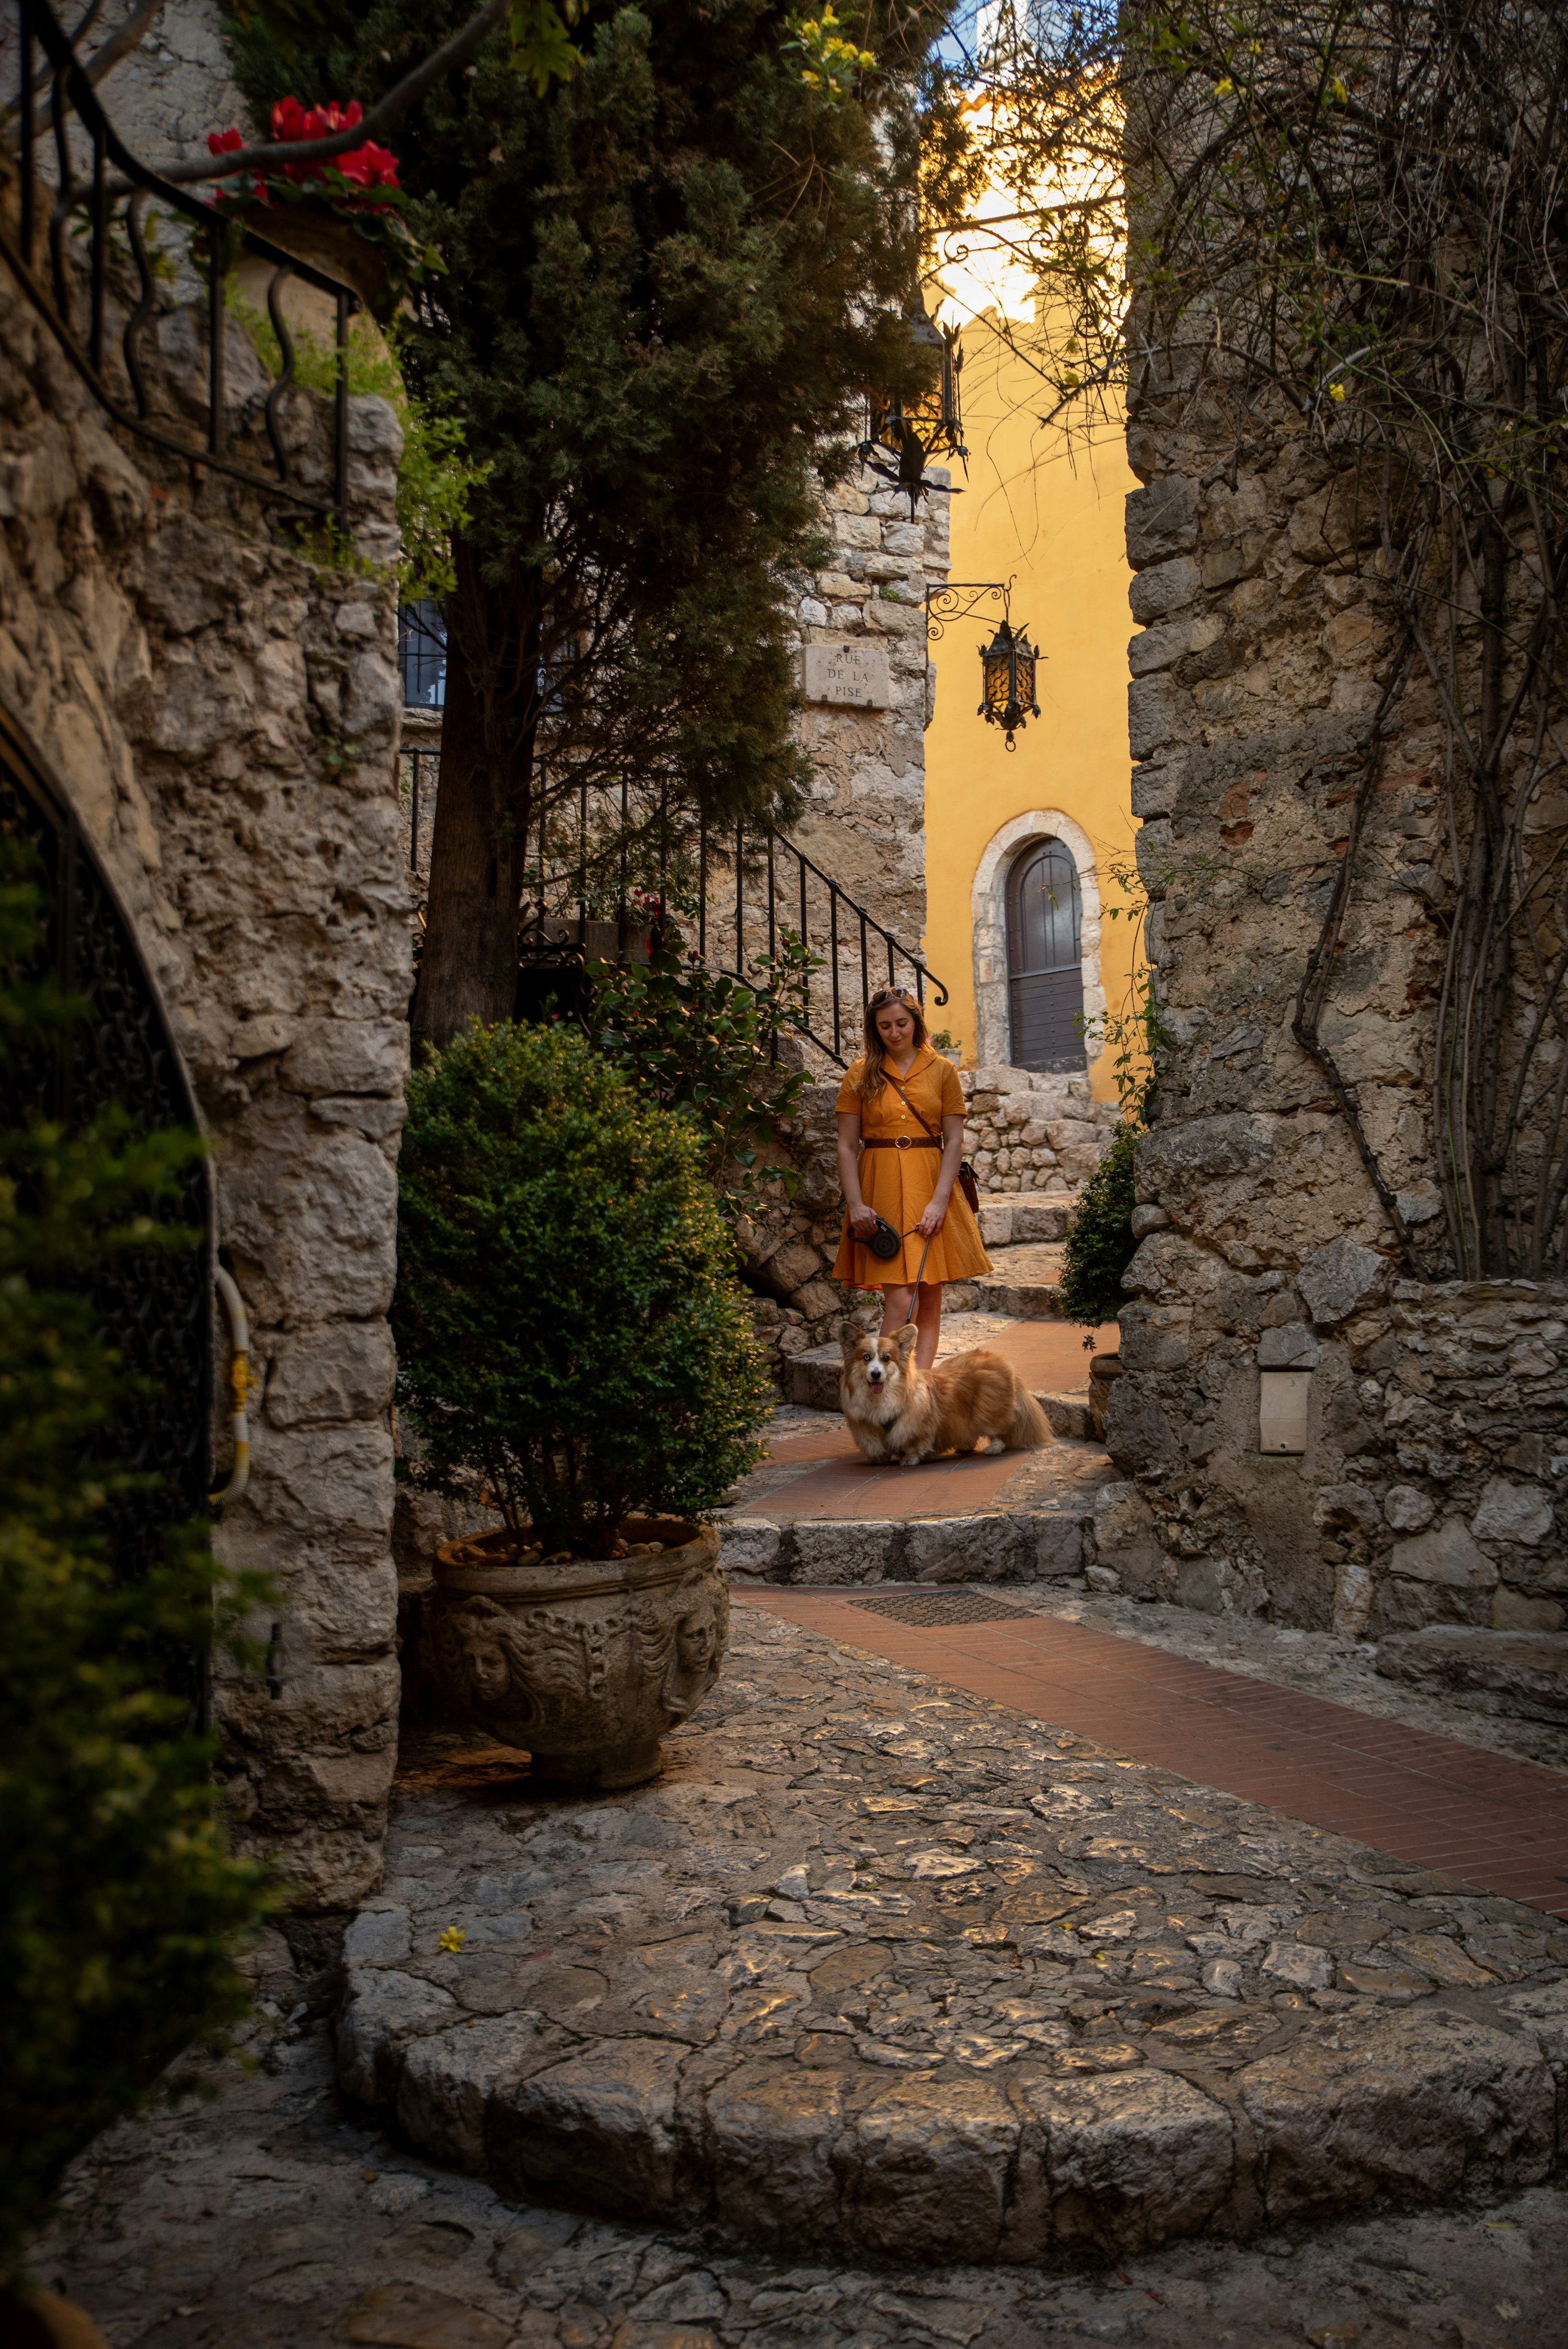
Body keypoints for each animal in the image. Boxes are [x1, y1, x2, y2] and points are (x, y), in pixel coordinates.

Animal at [840, 1334, 1046, 1456]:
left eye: (886, 1358)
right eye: (866, 1358)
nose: (876, 1374)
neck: (881, 1398)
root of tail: (1002, 1360)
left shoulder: (914, 1425)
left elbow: (914, 1443)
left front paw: (909, 1459)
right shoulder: (867, 1425)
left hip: (990, 1408)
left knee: (999, 1430)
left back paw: (993, 1449)